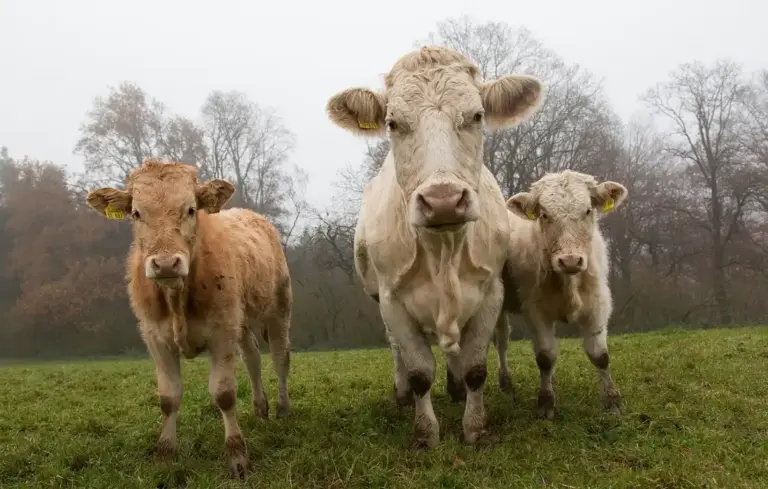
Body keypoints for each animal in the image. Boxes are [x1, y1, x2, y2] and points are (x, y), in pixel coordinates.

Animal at [84, 159, 292, 480]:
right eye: (136, 212)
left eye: (191, 209)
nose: (166, 264)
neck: (176, 299)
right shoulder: (155, 337)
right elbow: (168, 398)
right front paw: (165, 454)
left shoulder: (221, 332)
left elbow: (224, 394)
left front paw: (237, 457)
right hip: (241, 320)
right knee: (252, 358)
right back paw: (260, 409)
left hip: (279, 305)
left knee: (281, 357)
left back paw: (281, 409)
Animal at [326, 46, 544, 447]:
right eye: (393, 123)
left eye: (477, 115)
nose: (443, 201)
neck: (444, 251)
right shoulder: (392, 299)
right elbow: (419, 372)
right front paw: (426, 433)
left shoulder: (490, 292)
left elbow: (475, 367)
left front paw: (475, 428)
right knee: (396, 350)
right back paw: (401, 397)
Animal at [494, 169, 627, 419]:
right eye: (545, 215)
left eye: (587, 210)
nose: (570, 260)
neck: (568, 281)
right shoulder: (535, 310)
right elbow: (545, 356)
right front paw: (546, 403)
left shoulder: (598, 304)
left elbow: (600, 356)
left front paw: (612, 402)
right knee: (502, 342)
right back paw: (506, 383)